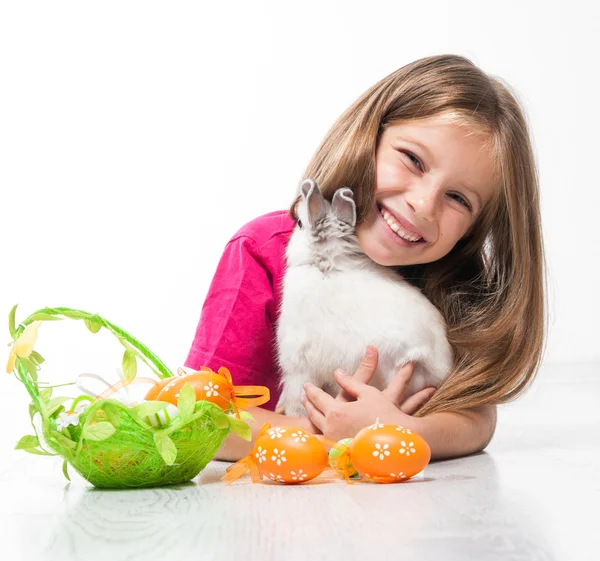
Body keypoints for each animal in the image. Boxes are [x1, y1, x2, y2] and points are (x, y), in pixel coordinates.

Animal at [274, 177, 452, 418]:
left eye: (300, 223)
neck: (328, 265)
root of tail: (440, 372)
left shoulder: (297, 364)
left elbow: (296, 398)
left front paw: (288, 412)